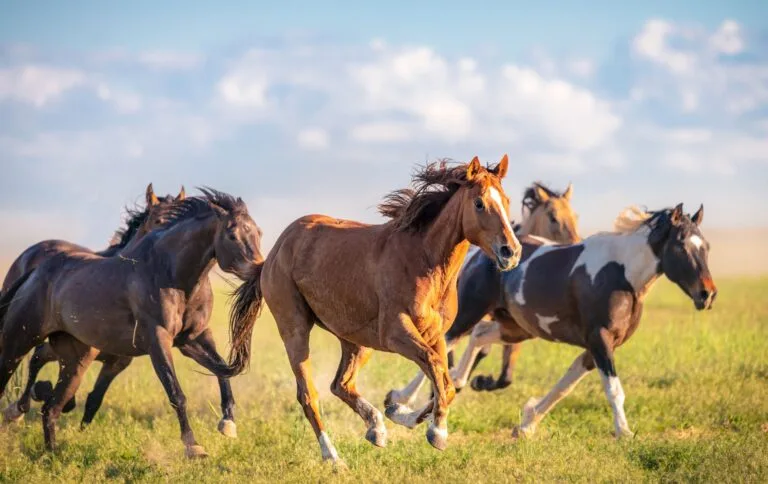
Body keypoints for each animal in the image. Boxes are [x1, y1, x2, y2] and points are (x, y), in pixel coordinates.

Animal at [228, 155, 522, 467]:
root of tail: (274, 253)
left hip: (355, 340)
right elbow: (436, 370)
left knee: (340, 384)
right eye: (479, 203)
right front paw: (437, 432)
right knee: (309, 395)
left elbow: (446, 381)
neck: (424, 262)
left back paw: (376, 428)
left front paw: (401, 412)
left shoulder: (436, 335)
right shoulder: (396, 333)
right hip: (295, 330)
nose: (511, 252)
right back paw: (333, 457)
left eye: (506, 200)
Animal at [386, 181, 581, 407]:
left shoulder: (513, 326)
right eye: (553, 217)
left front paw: (479, 381)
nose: (576, 244)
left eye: (575, 216)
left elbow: (505, 375)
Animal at [448, 204, 716, 439]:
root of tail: (478, 253)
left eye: (706, 246)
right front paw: (624, 433)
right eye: (681, 247)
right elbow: (613, 390)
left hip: (516, 327)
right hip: (470, 312)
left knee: (479, 335)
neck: (623, 276)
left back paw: (459, 381)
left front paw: (526, 425)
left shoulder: (596, 347)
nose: (707, 294)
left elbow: (564, 387)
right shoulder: (600, 339)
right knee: (449, 341)